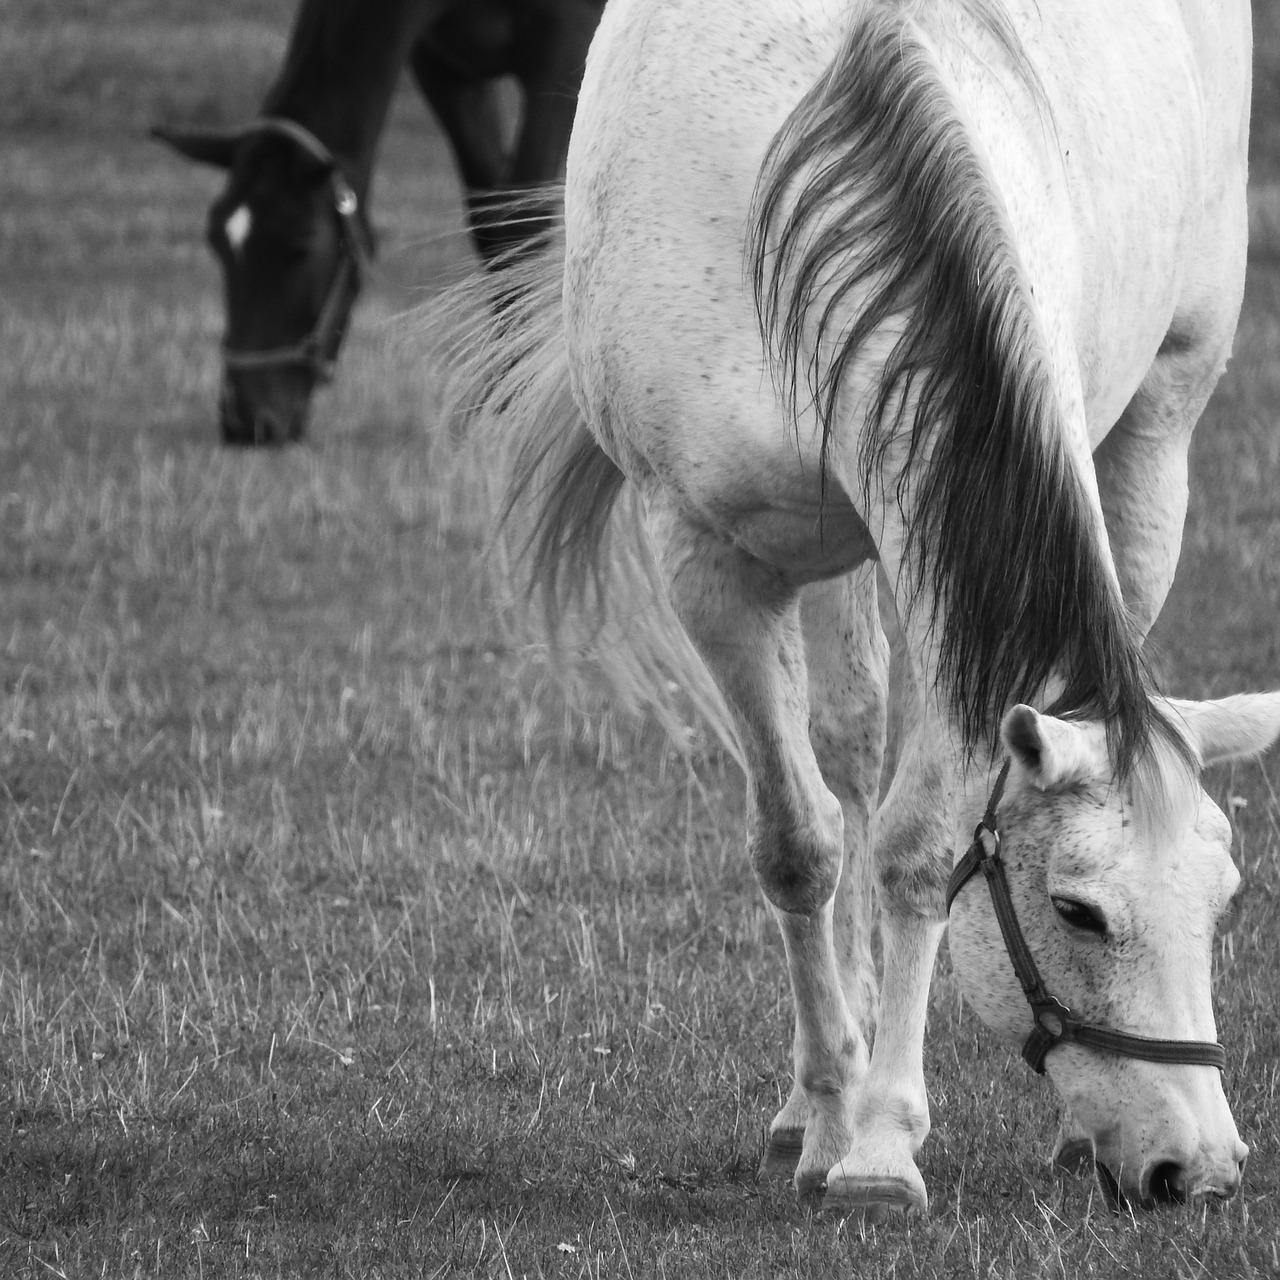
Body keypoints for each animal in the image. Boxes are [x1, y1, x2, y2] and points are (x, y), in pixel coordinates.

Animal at [154, 0, 604, 445]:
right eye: (217, 243)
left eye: (301, 247)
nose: (246, 422)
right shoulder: (445, 68)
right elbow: (492, 220)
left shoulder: (560, 48)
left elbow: (522, 223)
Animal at [460, 0, 1280, 1213]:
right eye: (1076, 910)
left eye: (1223, 902)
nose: (1202, 1169)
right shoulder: (710, 559)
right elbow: (802, 841)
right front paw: (848, 1123)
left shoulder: (946, 567)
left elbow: (918, 843)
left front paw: (882, 1137)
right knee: (847, 754)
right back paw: (817, 1105)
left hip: (1156, 423)